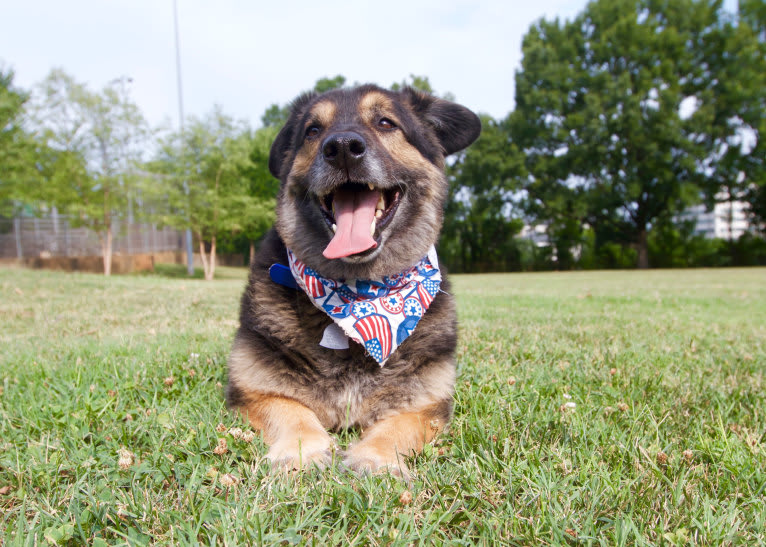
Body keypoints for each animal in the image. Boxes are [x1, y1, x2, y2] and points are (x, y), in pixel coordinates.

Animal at [225, 83, 484, 478]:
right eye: (312, 131)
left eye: (385, 122)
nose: (343, 146)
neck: (358, 294)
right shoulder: (255, 391)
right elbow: (291, 410)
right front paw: (303, 450)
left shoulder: (425, 405)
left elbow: (397, 426)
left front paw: (374, 457)